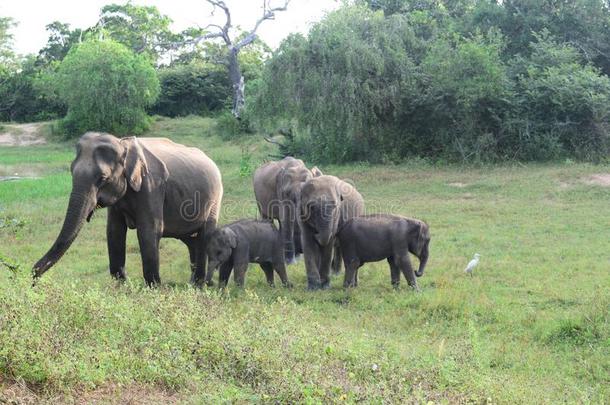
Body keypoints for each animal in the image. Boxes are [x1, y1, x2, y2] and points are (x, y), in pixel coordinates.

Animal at [32, 133, 222, 284]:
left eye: (102, 178)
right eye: (71, 171)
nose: (33, 276)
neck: (123, 144)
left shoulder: (151, 186)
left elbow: (149, 231)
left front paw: (154, 287)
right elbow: (114, 231)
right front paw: (122, 285)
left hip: (214, 200)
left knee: (204, 235)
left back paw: (200, 285)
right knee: (191, 239)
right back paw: (192, 283)